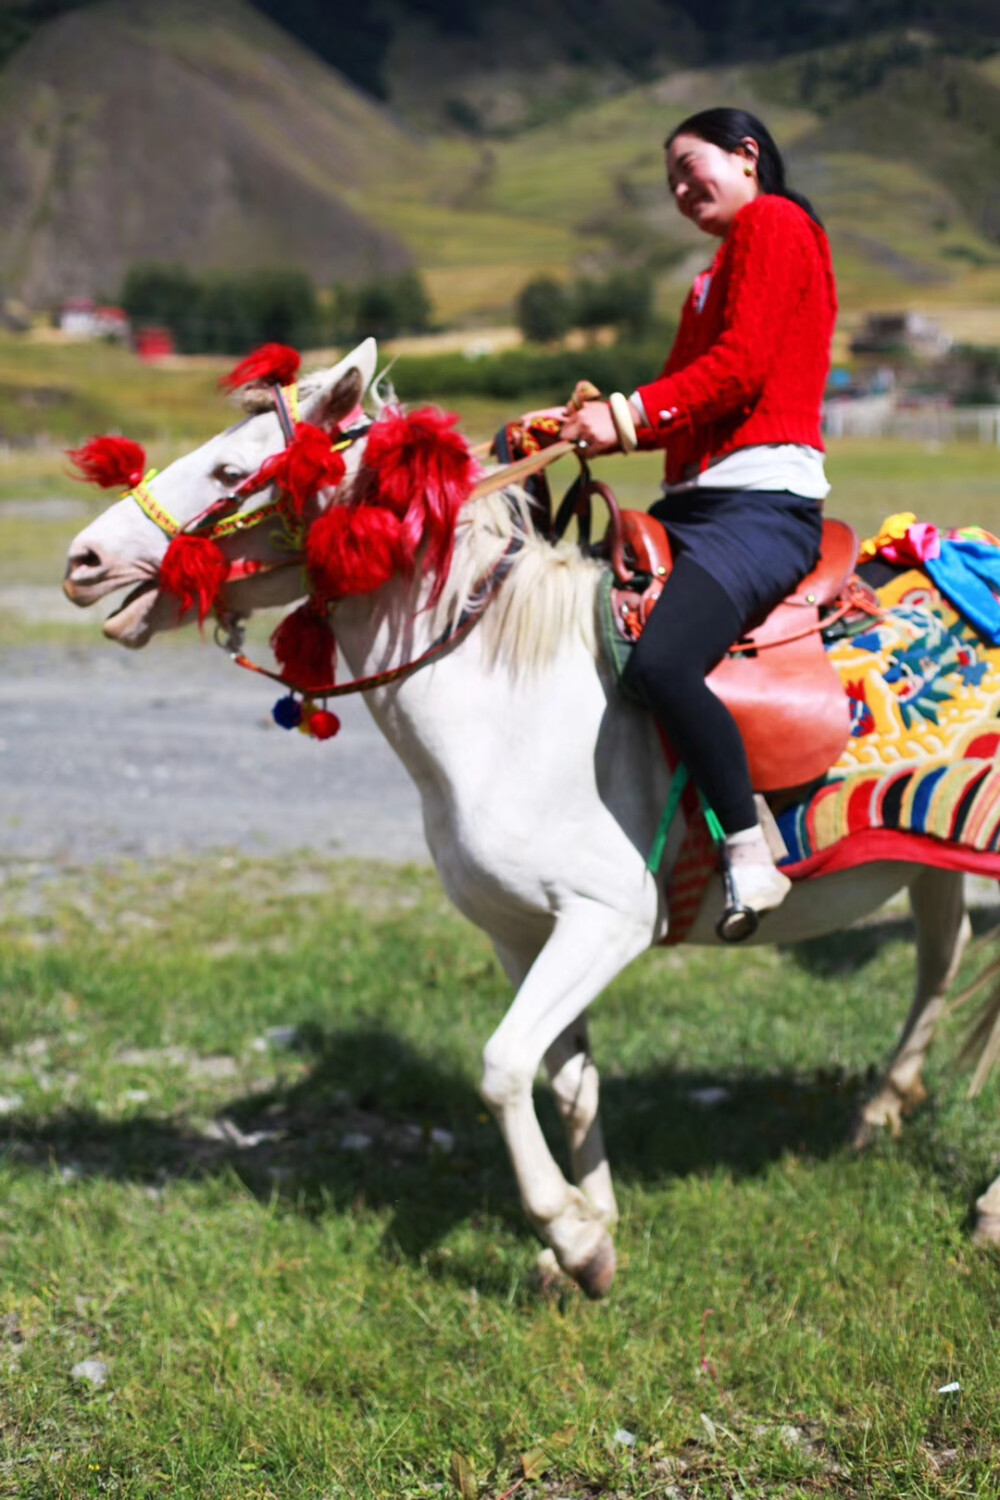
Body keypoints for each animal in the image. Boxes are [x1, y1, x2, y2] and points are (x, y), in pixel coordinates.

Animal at [62, 337, 1000, 1290]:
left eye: (231, 468)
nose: (85, 558)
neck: (509, 702)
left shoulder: (607, 920)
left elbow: (503, 1067)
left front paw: (574, 1238)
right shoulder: (518, 932)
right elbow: (570, 1082)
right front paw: (596, 1226)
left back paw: (988, 1209)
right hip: (930, 852)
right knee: (941, 955)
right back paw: (877, 1116)